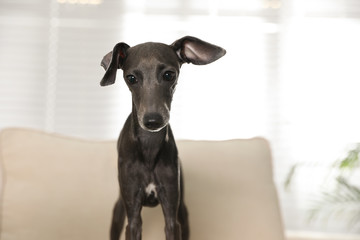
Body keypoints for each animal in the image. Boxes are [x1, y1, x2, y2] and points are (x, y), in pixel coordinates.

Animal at [100, 36, 225, 240]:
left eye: (169, 75)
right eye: (131, 78)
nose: (152, 120)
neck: (149, 149)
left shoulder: (172, 211)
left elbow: (171, 224)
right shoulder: (132, 216)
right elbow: (133, 223)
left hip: (183, 211)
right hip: (119, 210)